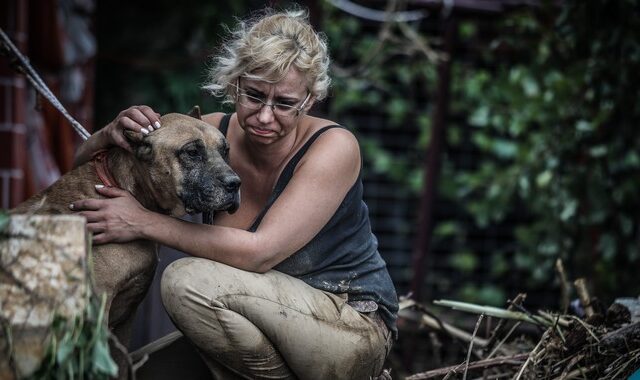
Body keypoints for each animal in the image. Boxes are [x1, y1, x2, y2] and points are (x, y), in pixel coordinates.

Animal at [11, 111, 241, 378]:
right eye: (192, 152)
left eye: (226, 150)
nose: (235, 184)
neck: (124, 188)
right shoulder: (98, 314)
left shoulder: (125, 321)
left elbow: (120, 365)